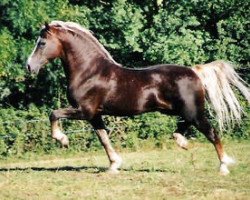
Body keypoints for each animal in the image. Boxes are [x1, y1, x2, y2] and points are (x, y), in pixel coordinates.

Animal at [26, 20, 249, 175]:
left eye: (42, 43)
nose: (29, 66)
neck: (89, 71)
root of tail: (194, 71)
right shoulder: (95, 115)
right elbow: (103, 138)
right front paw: (114, 166)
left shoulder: (84, 111)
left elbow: (54, 113)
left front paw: (62, 140)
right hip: (179, 110)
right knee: (185, 126)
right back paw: (182, 142)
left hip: (193, 111)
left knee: (212, 133)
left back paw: (223, 167)